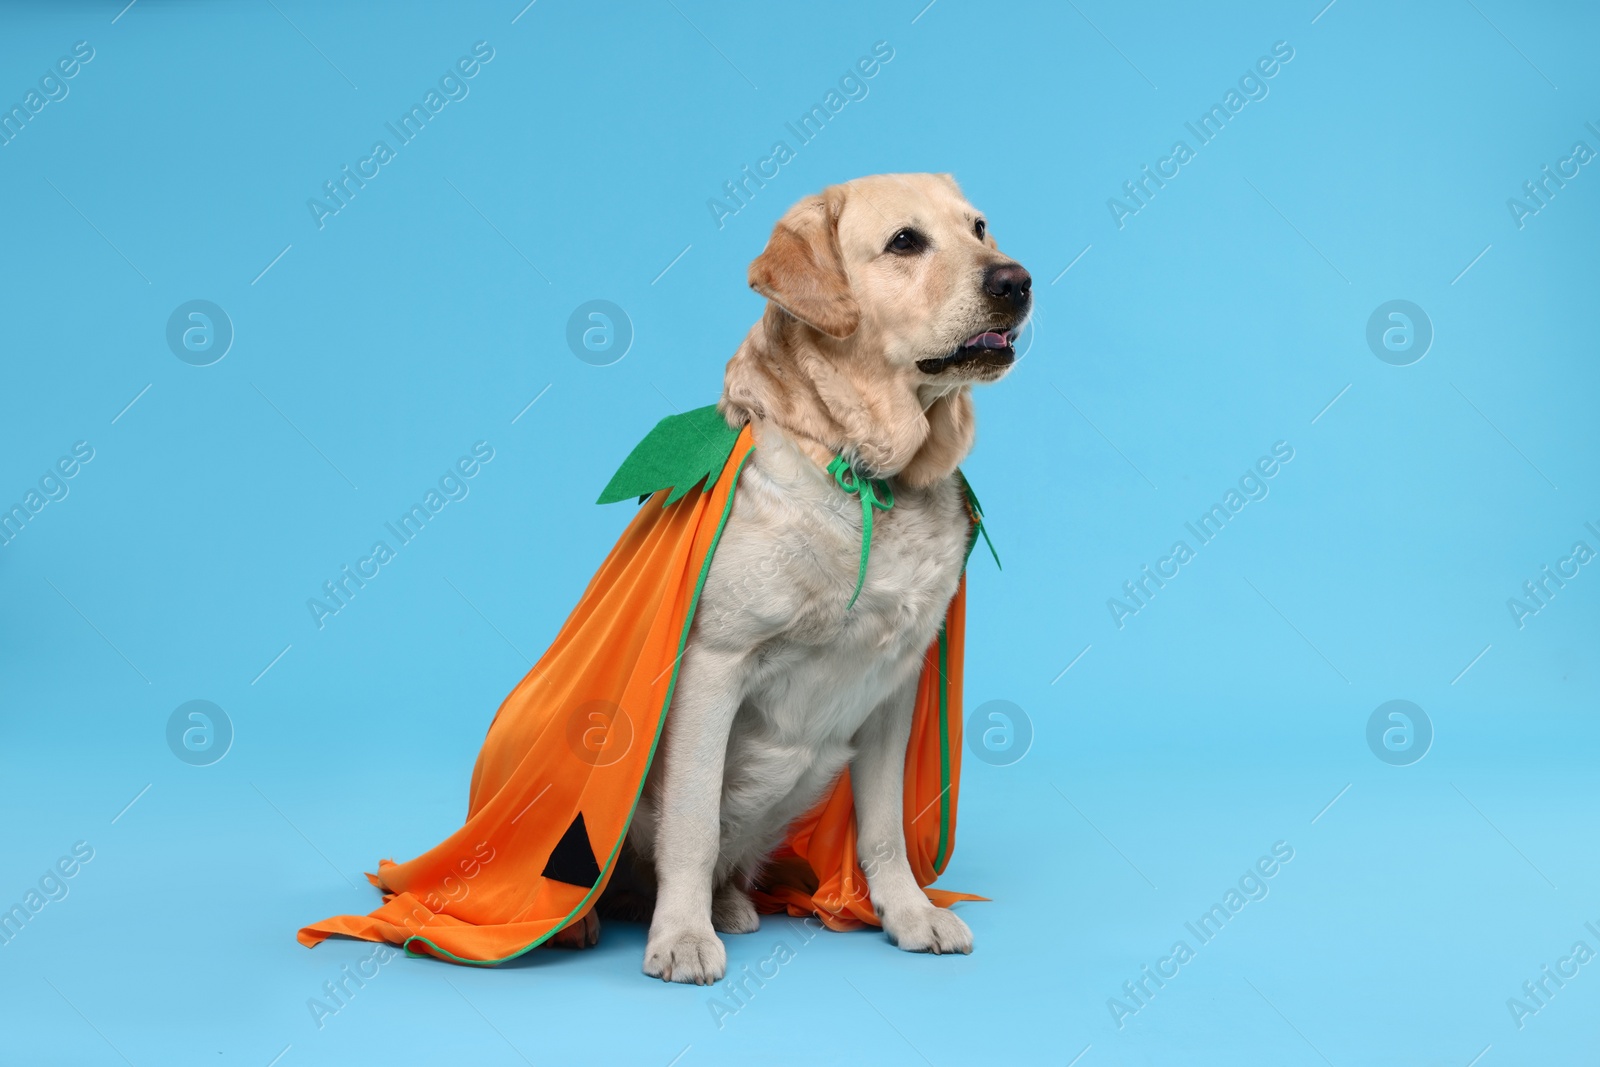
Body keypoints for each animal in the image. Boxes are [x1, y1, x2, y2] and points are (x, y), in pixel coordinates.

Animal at [598, 175, 1024, 985]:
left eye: (980, 228)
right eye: (905, 242)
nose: (1016, 282)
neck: (871, 476)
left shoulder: (896, 684)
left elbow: (884, 826)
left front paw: (907, 913)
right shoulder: (711, 665)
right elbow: (691, 825)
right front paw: (683, 936)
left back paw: (731, 903)